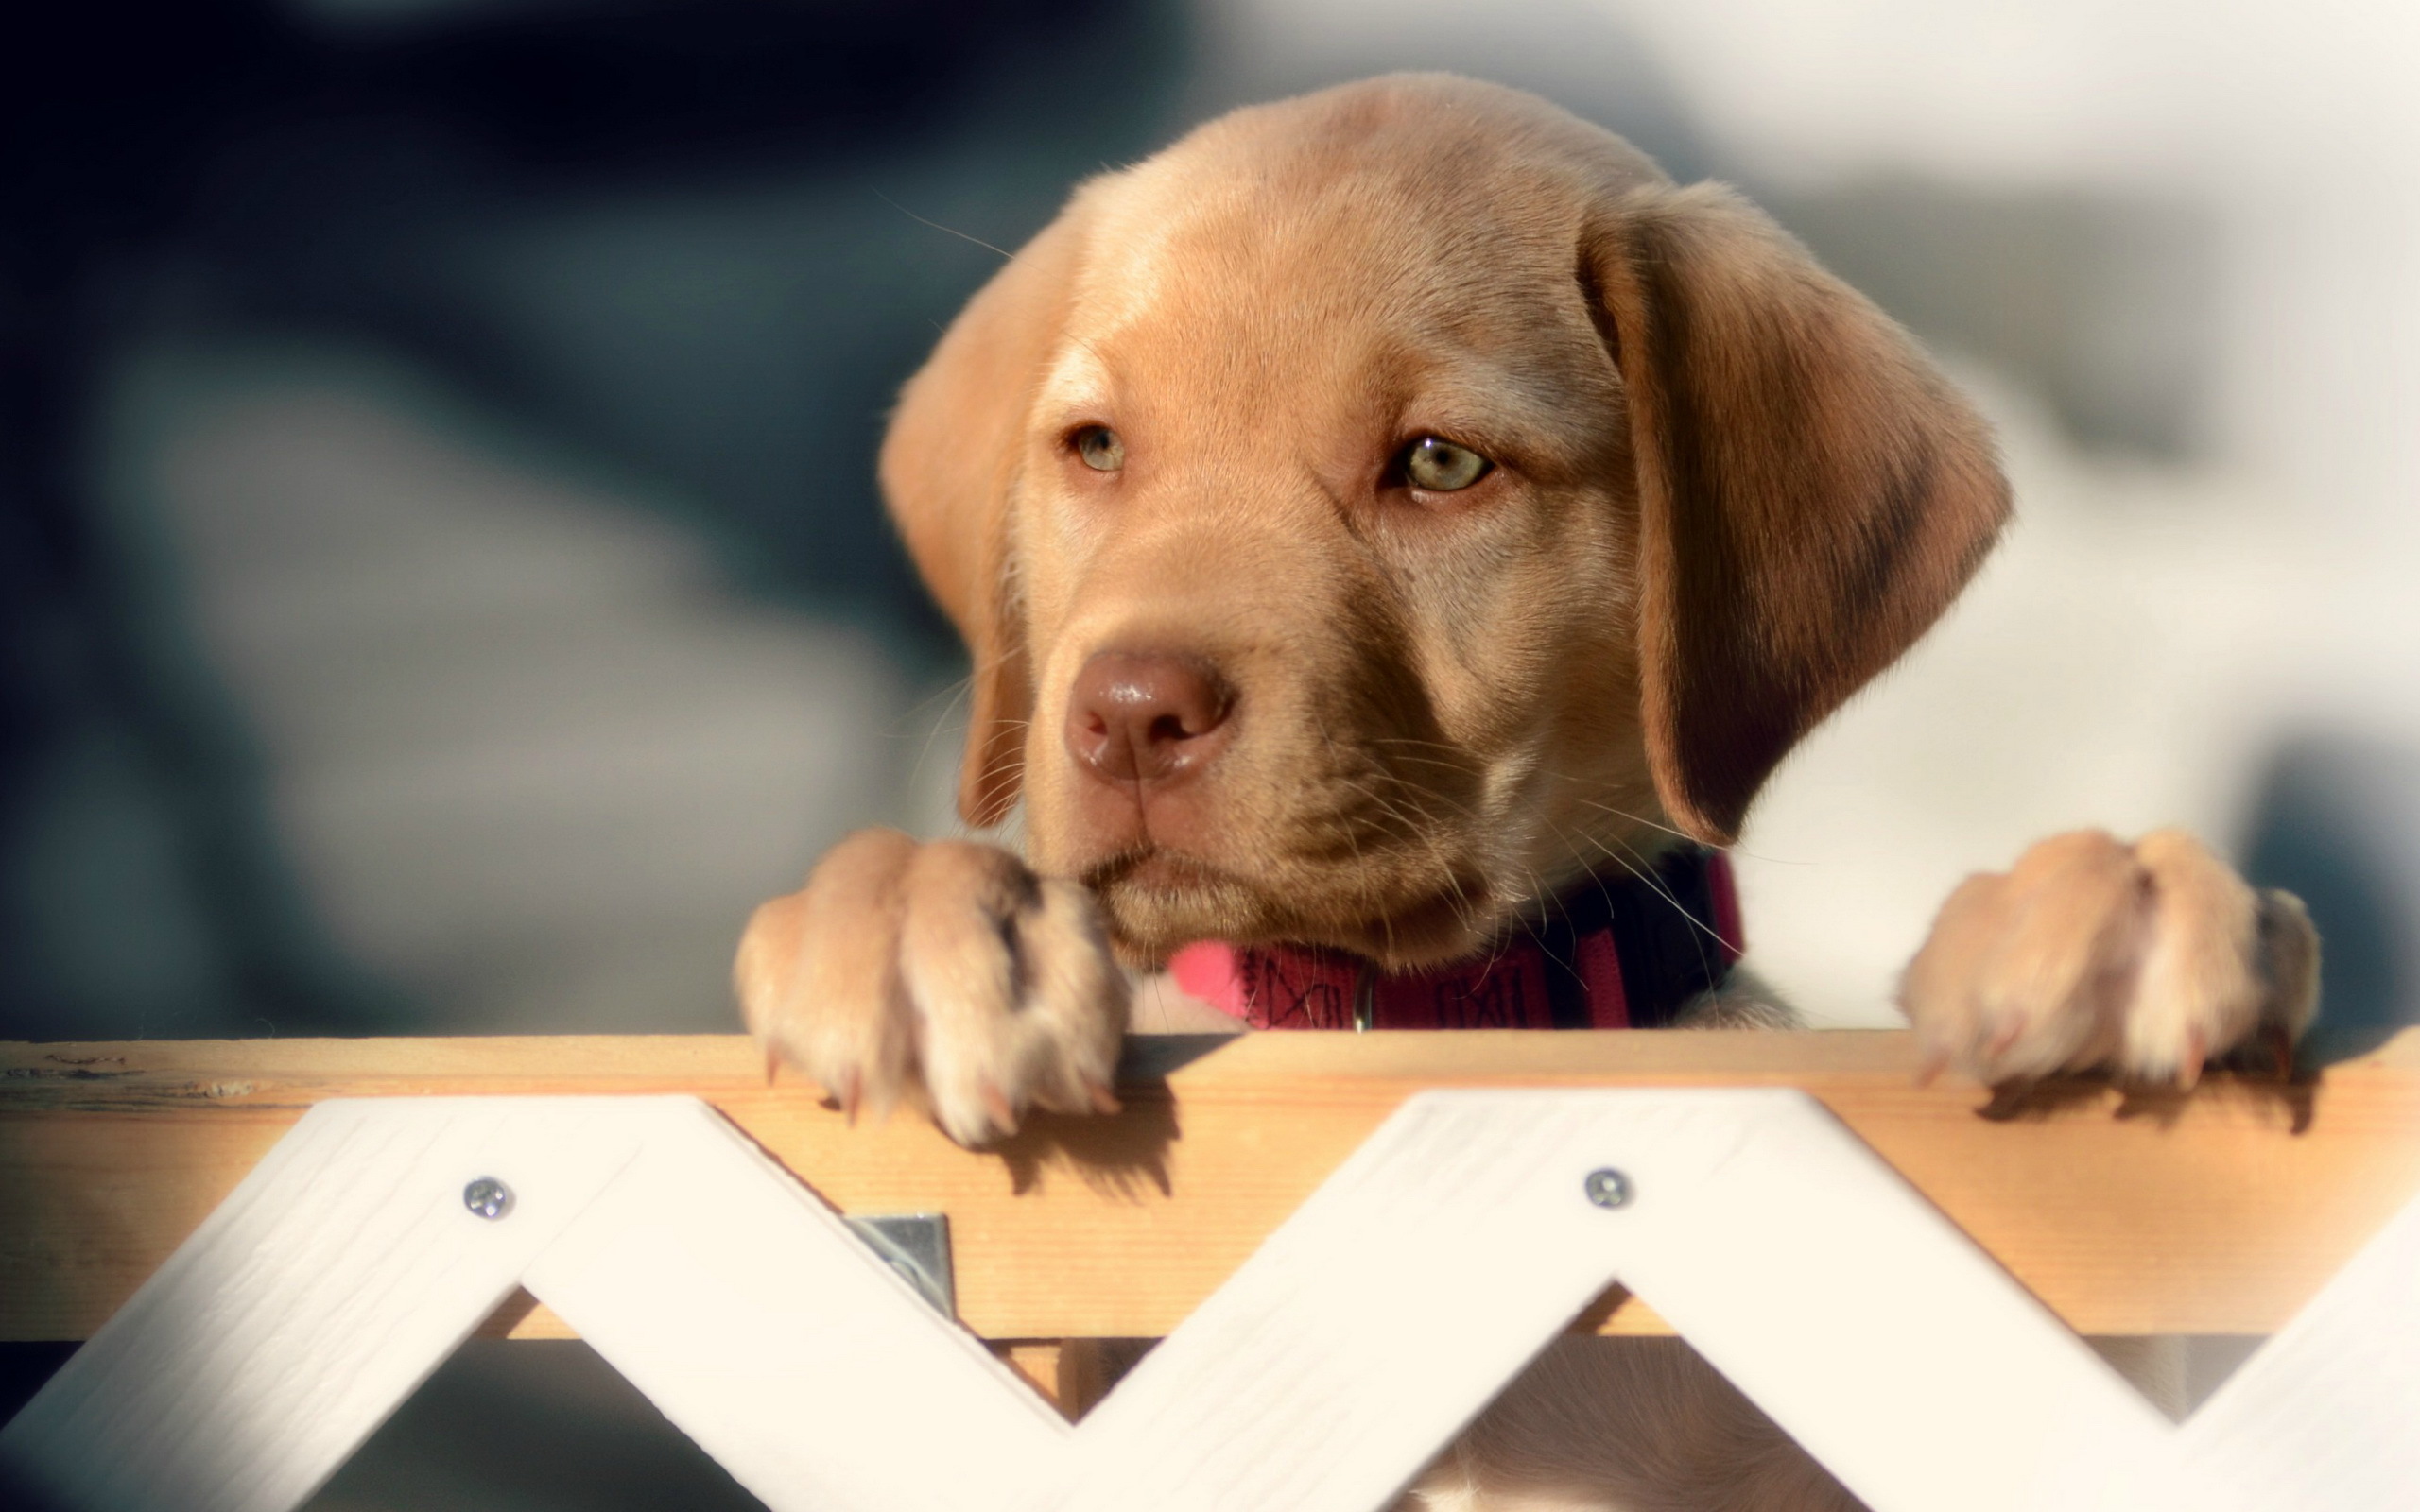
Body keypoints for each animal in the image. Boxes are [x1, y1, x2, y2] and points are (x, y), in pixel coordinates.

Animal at [731, 74, 2304, 1509]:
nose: (1126, 717)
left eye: (1439, 464)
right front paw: (919, 934)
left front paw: (2109, 920)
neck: (1410, 1029)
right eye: (1097, 449)